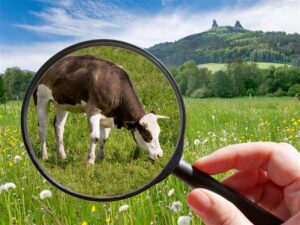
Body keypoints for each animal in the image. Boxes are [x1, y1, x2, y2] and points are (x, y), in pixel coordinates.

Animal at [33, 54, 169, 163]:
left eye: (158, 133)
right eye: (147, 135)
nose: (160, 155)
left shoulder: (107, 116)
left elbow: (104, 139)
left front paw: (100, 158)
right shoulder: (92, 109)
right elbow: (95, 137)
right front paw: (89, 161)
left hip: (61, 104)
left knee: (58, 126)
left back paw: (62, 156)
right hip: (41, 99)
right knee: (43, 127)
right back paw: (44, 155)